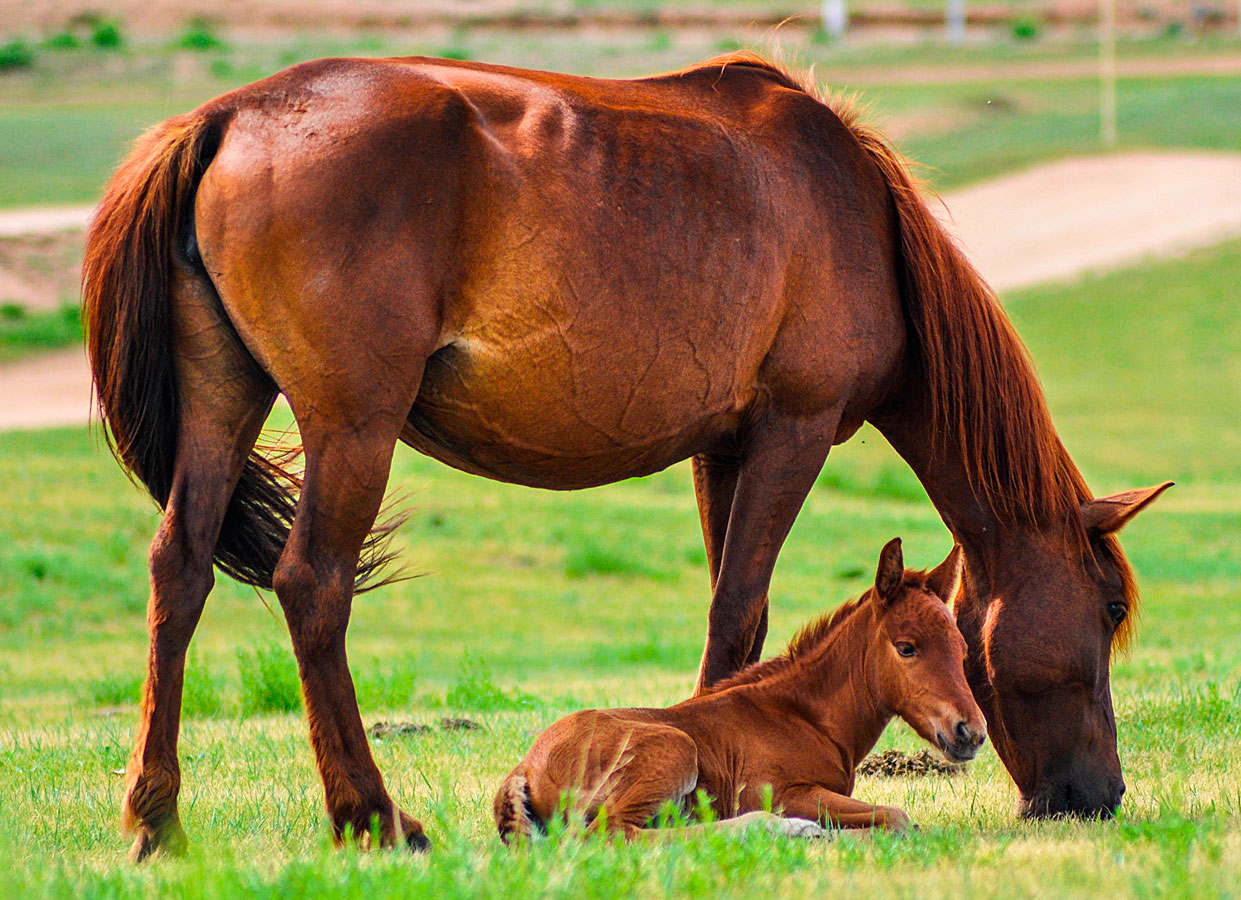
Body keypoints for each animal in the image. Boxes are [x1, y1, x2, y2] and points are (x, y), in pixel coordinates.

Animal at [493, 541, 987, 844]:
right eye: (906, 647)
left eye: (964, 650)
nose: (971, 732)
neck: (804, 716)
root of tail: (525, 768)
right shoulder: (782, 791)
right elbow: (897, 818)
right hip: (674, 750)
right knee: (614, 833)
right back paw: (779, 829)